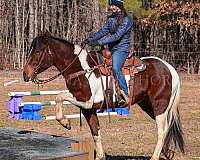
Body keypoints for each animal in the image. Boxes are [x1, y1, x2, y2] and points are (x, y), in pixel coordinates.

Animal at [22, 30, 184, 159]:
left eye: (38, 51)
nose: (25, 74)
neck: (82, 69)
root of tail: (170, 68)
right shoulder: (88, 109)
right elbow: (95, 132)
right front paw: (100, 155)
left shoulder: (87, 101)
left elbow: (59, 96)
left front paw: (65, 122)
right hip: (148, 105)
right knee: (166, 129)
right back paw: (167, 152)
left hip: (159, 105)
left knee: (162, 131)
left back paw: (155, 156)